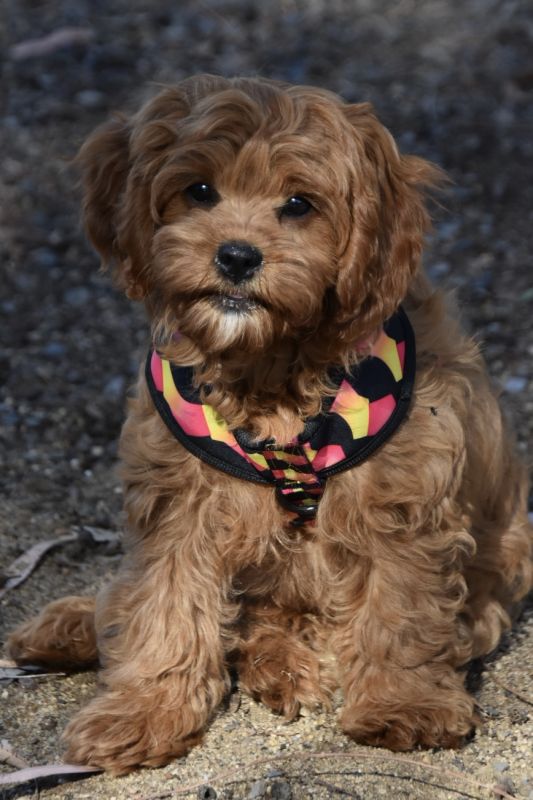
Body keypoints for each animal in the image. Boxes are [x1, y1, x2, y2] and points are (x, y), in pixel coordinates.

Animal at [8, 75, 532, 774]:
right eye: (200, 190)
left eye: (299, 204)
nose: (236, 257)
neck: (271, 372)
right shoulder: (179, 500)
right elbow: (162, 605)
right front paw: (142, 712)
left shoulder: (399, 501)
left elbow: (401, 607)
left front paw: (405, 705)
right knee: (169, 607)